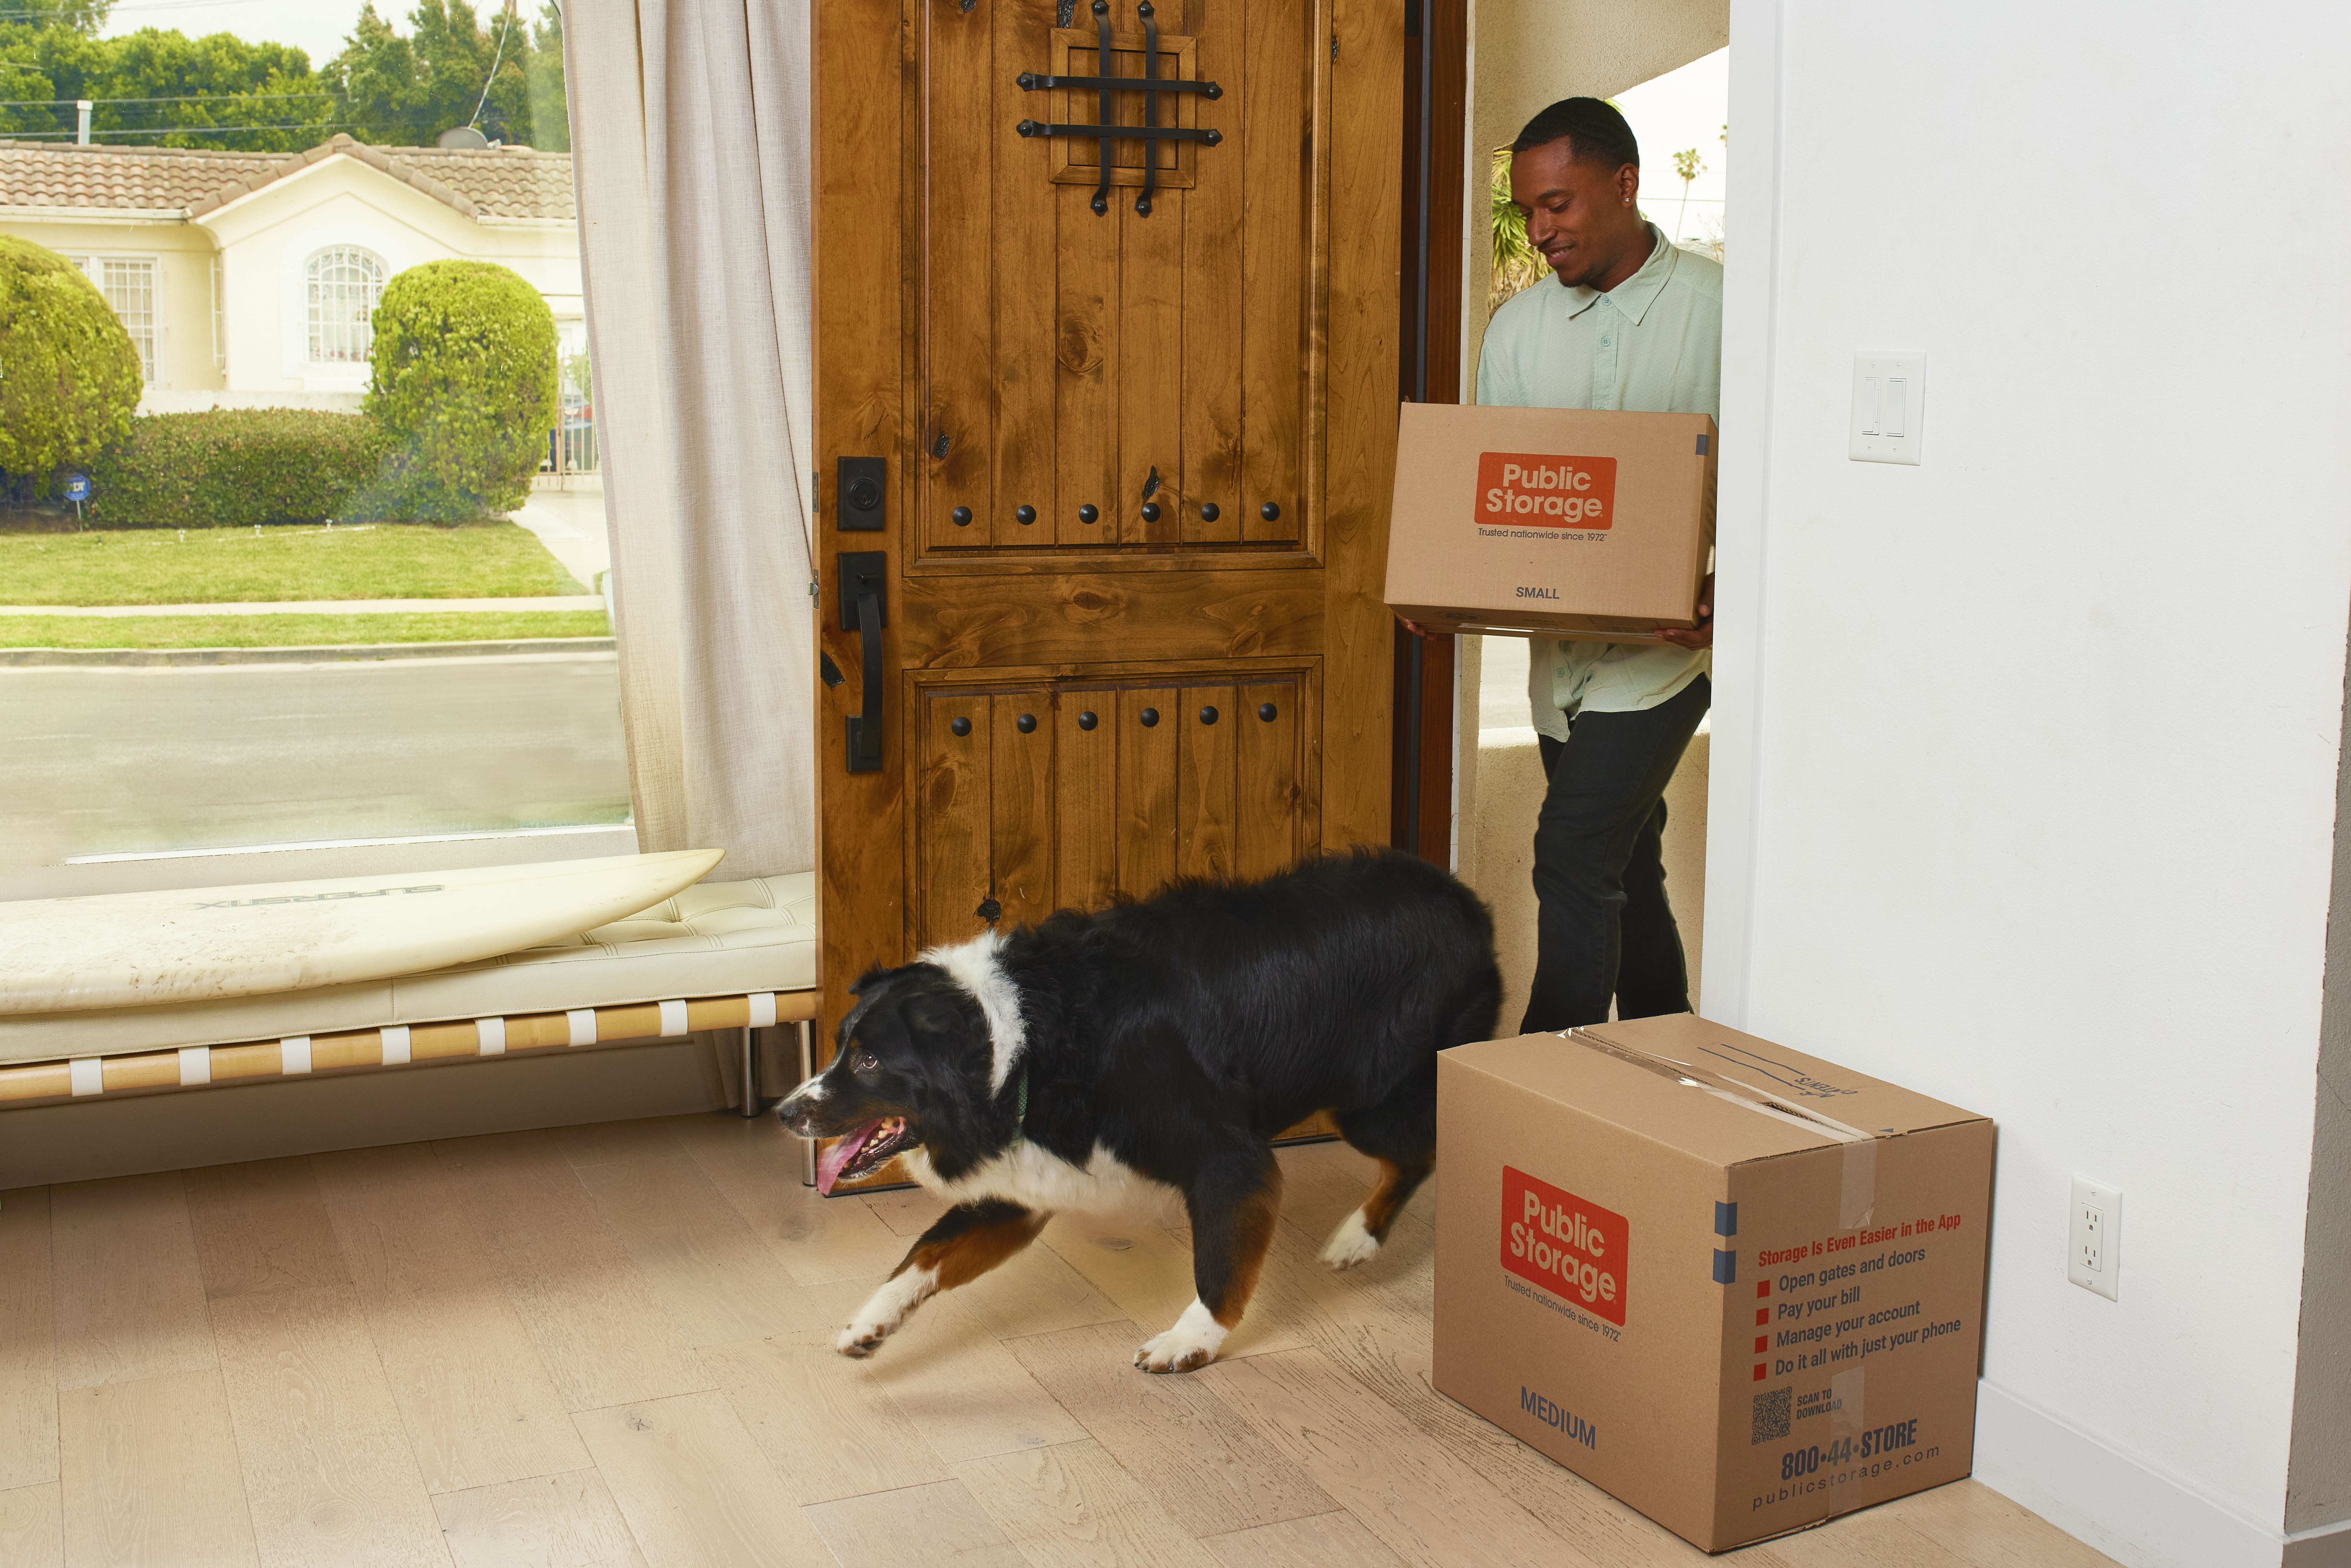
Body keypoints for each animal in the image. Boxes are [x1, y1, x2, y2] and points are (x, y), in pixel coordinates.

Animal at [780, 846, 1495, 1373]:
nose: (786, 1112)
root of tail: (1463, 899)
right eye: (841, 1047)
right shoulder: (1019, 1185)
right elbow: (924, 1252)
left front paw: (1191, 1340)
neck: (1026, 1043)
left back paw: (1358, 1237)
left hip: (1373, 1099)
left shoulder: (1228, 1157)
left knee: (1423, 1151)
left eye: (870, 1061)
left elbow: (1218, 1265)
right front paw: (871, 1319)